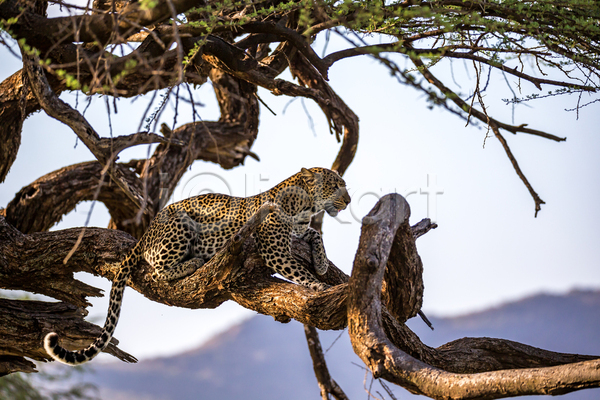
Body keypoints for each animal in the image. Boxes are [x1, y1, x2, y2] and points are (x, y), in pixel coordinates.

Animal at [45, 166, 352, 366]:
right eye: (336, 185)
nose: (348, 200)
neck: (304, 207)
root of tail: (146, 232)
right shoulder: (274, 251)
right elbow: (299, 271)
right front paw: (319, 284)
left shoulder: (299, 233)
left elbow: (316, 234)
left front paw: (321, 264)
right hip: (180, 223)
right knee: (158, 270)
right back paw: (194, 261)